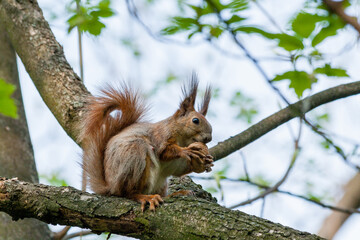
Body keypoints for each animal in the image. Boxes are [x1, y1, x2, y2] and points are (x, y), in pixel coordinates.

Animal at [77, 74, 212, 210]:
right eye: (195, 120)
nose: (208, 138)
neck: (182, 139)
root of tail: (111, 186)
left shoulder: (173, 163)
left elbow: (178, 168)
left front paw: (204, 163)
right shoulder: (160, 136)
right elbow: (164, 151)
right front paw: (186, 151)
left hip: (160, 183)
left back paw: (176, 194)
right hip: (134, 157)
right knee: (127, 193)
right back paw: (145, 197)